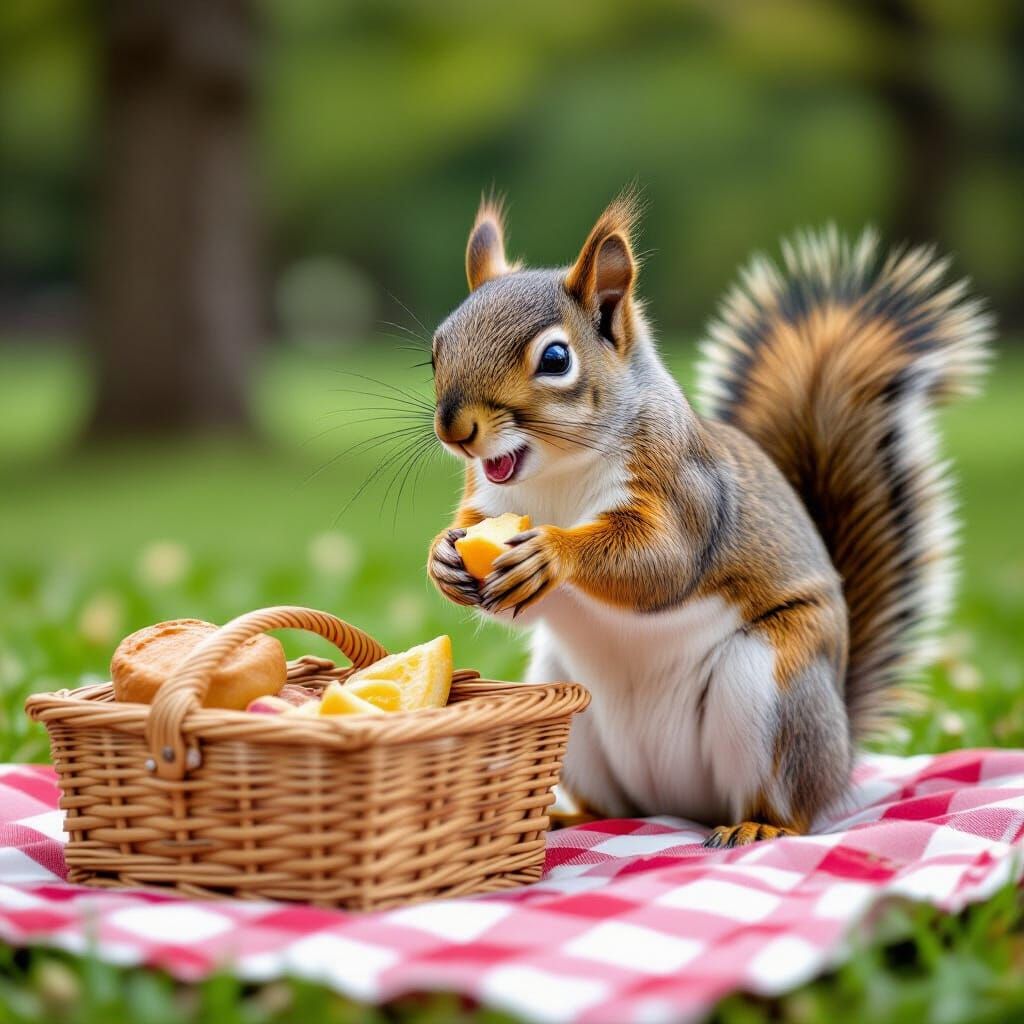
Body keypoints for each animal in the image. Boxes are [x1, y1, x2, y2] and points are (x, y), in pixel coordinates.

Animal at [426, 191, 992, 847]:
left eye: (556, 358)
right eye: (436, 351)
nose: (455, 429)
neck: (555, 478)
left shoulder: (684, 490)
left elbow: (661, 564)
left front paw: (553, 553)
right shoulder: (487, 505)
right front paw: (442, 559)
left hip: (772, 688)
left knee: (792, 806)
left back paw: (760, 826)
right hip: (575, 710)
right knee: (612, 804)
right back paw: (574, 817)